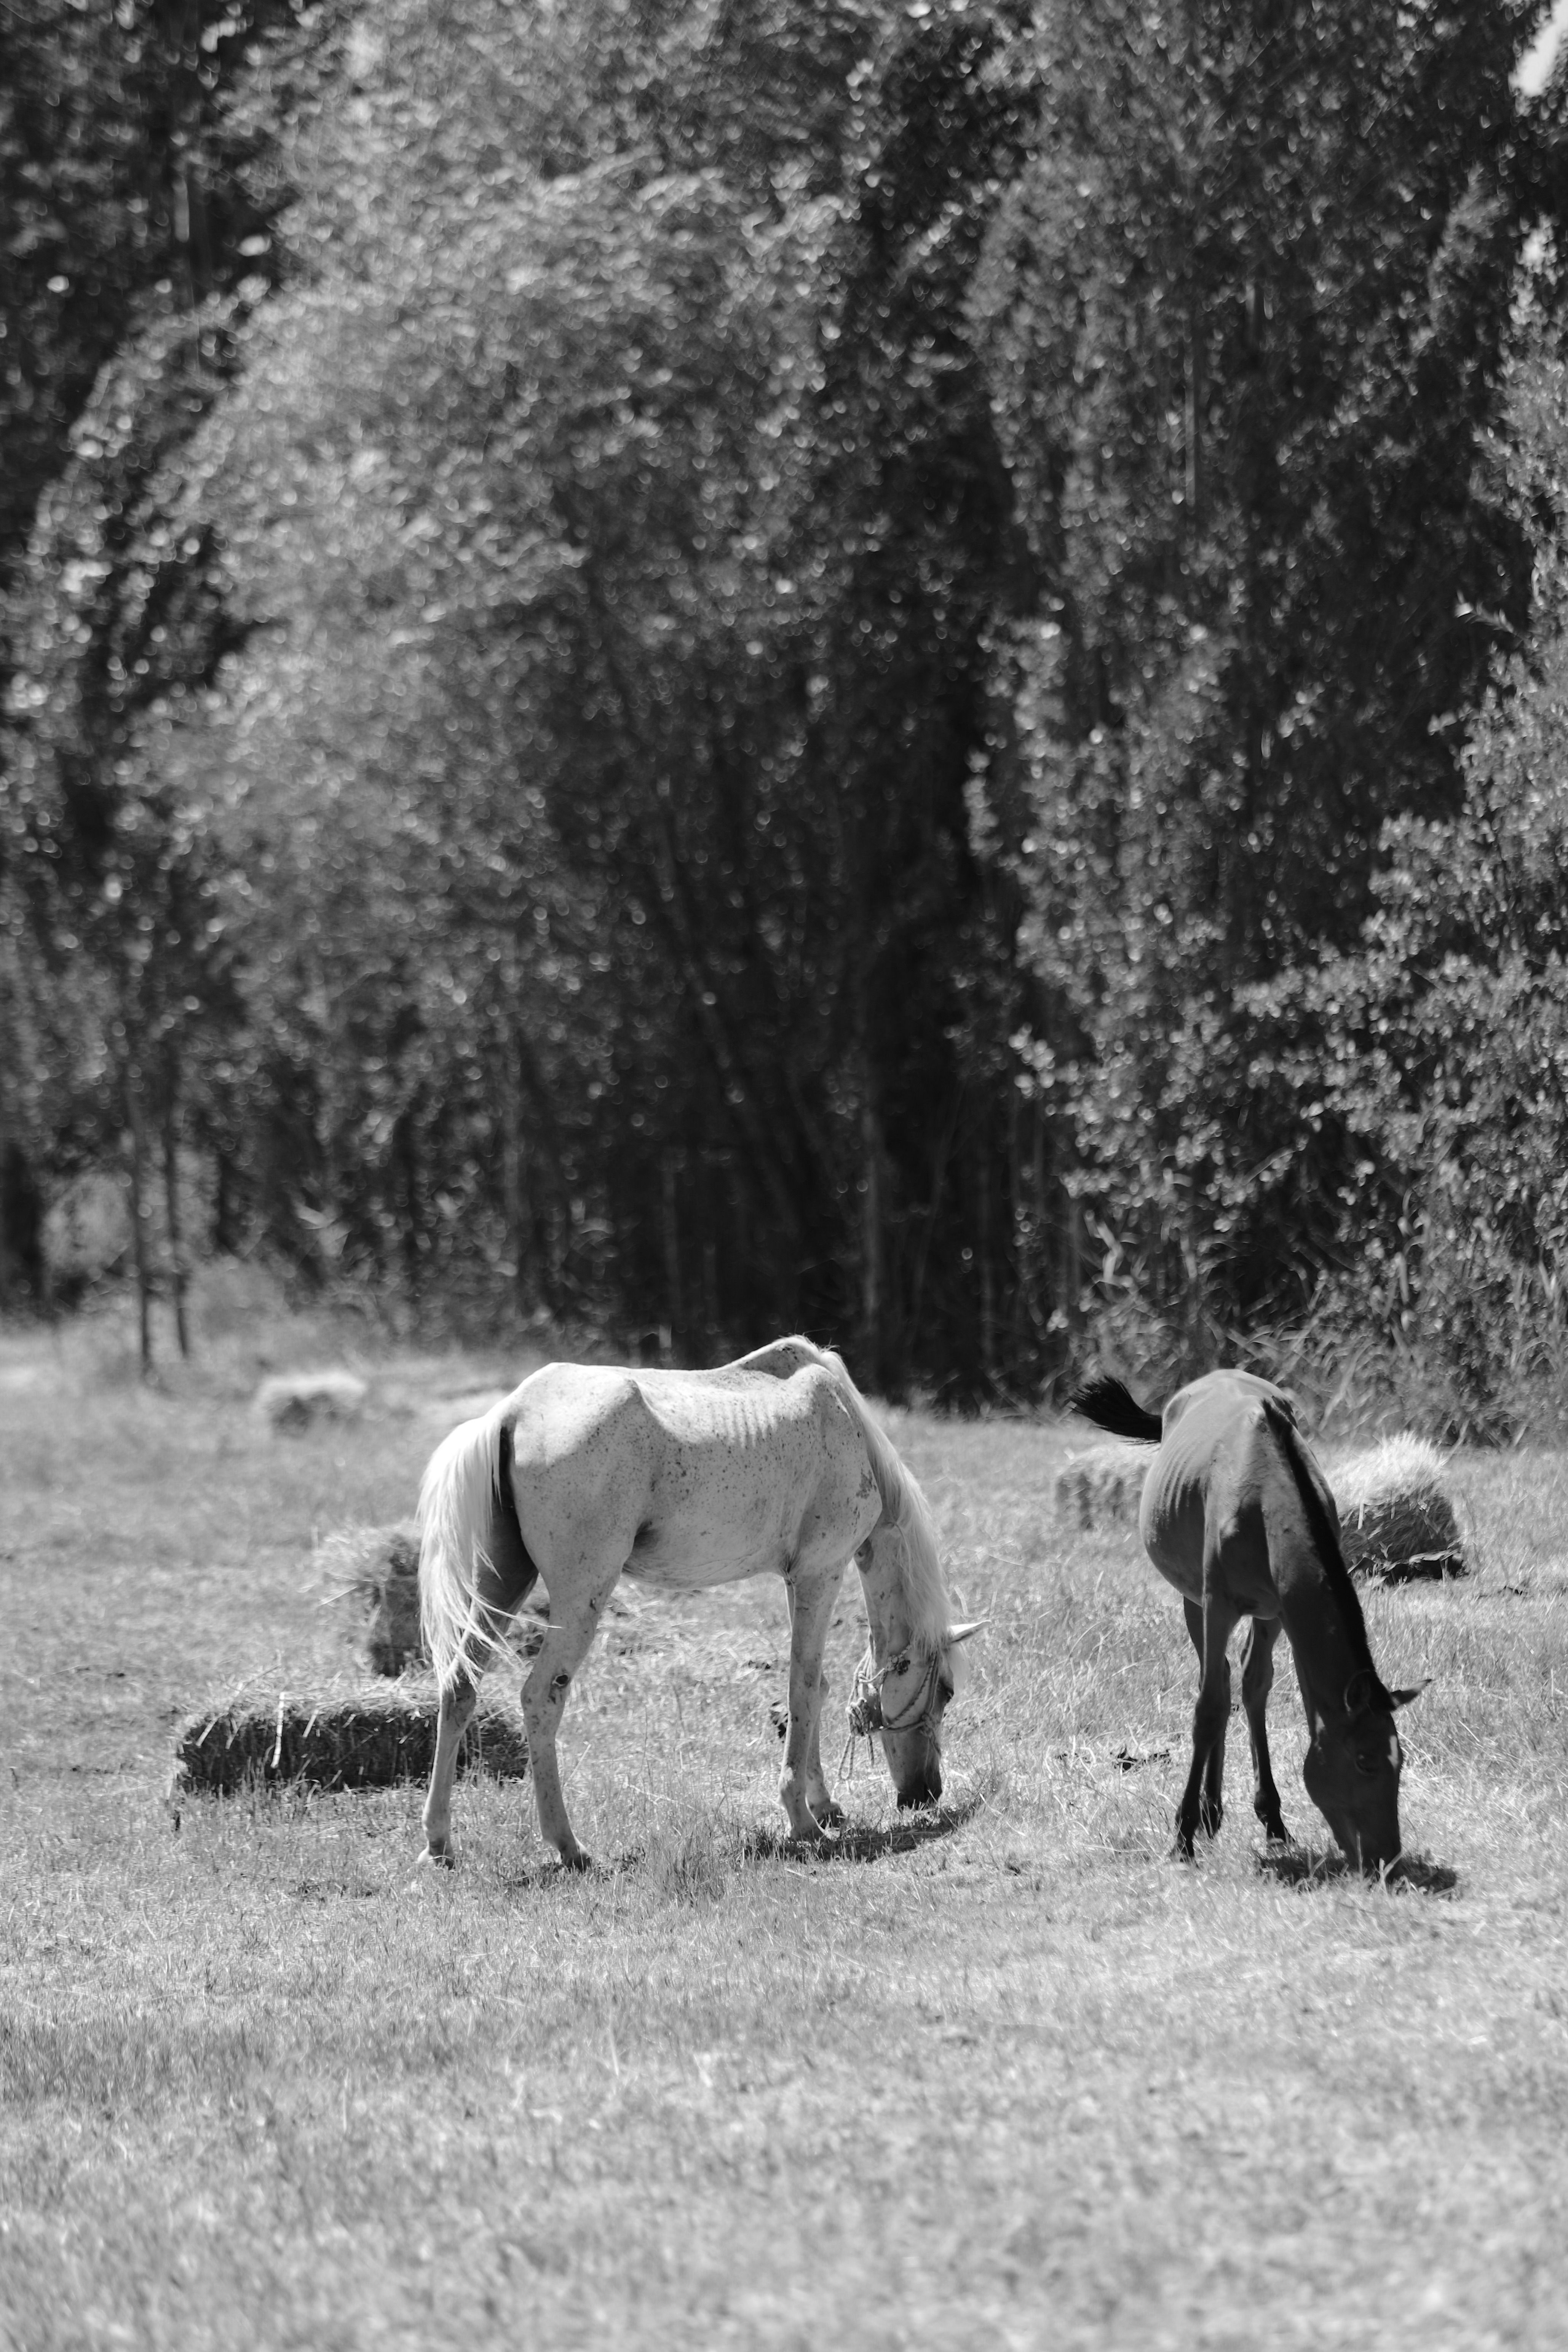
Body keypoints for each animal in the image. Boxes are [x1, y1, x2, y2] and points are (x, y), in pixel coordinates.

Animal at [416, 1335, 982, 1868]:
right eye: (946, 1691)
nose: (925, 1793)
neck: (841, 1420)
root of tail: (512, 1413)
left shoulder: (797, 1581)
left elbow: (815, 1686)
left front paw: (824, 1806)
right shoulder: (820, 1574)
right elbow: (802, 1690)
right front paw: (802, 1820)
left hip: (502, 1584)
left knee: (460, 1686)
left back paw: (439, 1843)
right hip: (581, 1599)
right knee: (541, 1697)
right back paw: (567, 1846)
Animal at [1070, 1368, 1424, 1874]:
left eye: (1400, 1762)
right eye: (1363, 1761)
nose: (1386, 1860)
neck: (1266, 1491)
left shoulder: (1278, 1611)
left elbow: (1255, 1687)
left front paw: (1272, 1822)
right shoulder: (1217, 1603)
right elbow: (1208, 1707)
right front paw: (1182, 1836)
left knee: (1237, 1680)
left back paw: (1229, 1813)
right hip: (1192, 1600)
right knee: (1214, 1680)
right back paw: (1206, 1812)